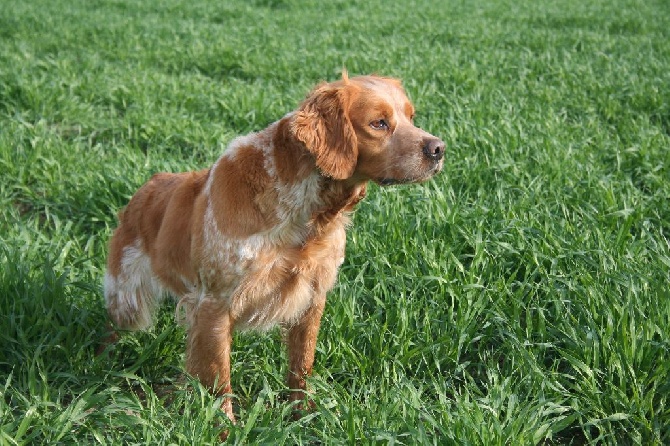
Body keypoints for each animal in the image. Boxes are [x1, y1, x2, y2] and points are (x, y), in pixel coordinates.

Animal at [103, 72, 446, 422]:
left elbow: (301, 366)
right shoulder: (215, 304)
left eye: (411, 117)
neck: (303, 212)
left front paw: (302, 414)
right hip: (127, 301)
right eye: (378, 123)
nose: (438, 148)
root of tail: (147, 187)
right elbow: (220, 381)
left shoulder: (311, 297)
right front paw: (226, 427)